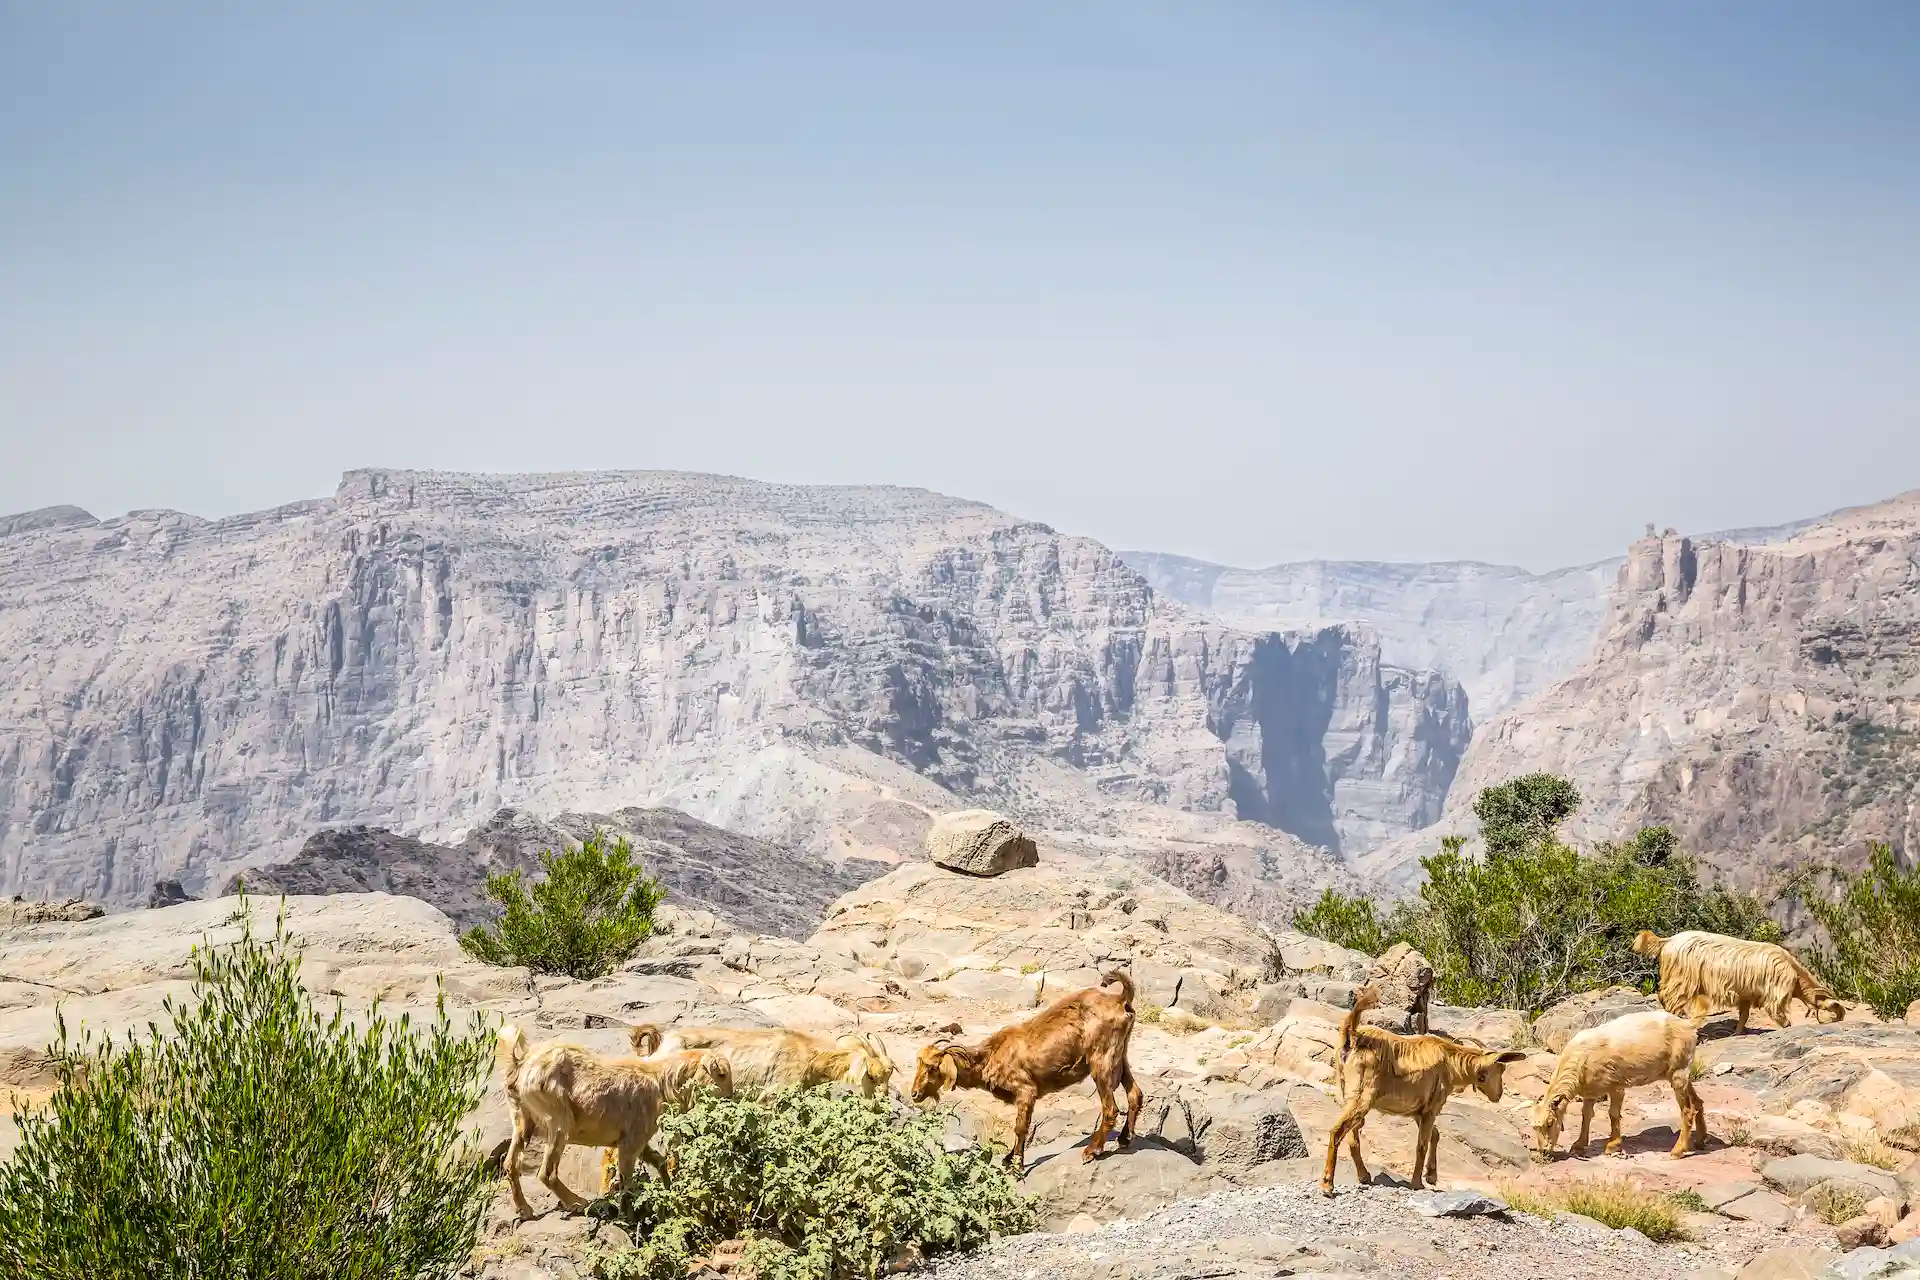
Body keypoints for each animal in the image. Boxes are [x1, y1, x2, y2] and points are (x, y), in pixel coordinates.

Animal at [499, 1026, 731, 1220]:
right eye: (721, 1074)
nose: (731, 1098)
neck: (659, 1081)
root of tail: (518, 1066)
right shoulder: (631, 1141)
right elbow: (625, 1180)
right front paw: (627, 1217)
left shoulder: (636, 1138)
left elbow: (658, 1160)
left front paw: (669, 1189)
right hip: (558, 1120)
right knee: (546, 1173)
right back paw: (577, 1202)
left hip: (522, 1119)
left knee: (510, 1164)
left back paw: (525, 1210)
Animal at [909, 970, 1140, 1173]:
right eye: (919, 1063)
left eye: (932, 1067)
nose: (914, 1094)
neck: (991, 1055)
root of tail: (1120, 999)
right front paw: (1008, 1158)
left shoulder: (1025, 1090)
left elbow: (1020, 1127)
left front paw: (1016, 1166)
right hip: (1120, 1055)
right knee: (1135, 1094)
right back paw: (1124, 1139)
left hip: (1101, 1059)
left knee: (1110, 1108)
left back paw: (1092, 1150)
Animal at [1321, 986, 1525, 1196]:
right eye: (1501, 1069)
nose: (1498, 1095)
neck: (1450, 1062)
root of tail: (1353, 1035)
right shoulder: (1431, 1107)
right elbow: (1422, 1144)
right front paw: (1417, 1183)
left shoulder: (1419, 1110)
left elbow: (1435, 1135)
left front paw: (1431, 1175)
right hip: (1362, 1097)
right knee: (1337, 1131)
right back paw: (1327, 1184)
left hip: (1347, 1093)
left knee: (1352, 1137)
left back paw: (1364, 1176)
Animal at [1531, 1009, 1704, 1161]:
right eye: (1534, 1127)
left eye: (1550, 1123)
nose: (1544, 1151)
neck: (1580, 1059)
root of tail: (1688, 1024)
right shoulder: (1591, 1092)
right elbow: (1586, 1115)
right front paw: (1579, 1145)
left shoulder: (1616, 1086)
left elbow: (1613, 1114)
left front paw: (1612, 1146)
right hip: (1678, 1073)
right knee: (1697, 1102)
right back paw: (1701, 1140)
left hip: (1678, 1072)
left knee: (1687, 1111)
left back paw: (1677, 1151)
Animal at [1633, 929, 1844, 1032]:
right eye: (1832, 1006)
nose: (1839, 1017)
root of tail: (1667, 941)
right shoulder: (1777, 988)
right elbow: (1776, 1011)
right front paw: (1786, 1026)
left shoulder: (1745, 994)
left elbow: (1744, 1016)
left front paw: (1738, 1033)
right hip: (1682, 979)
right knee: (1670, 999)